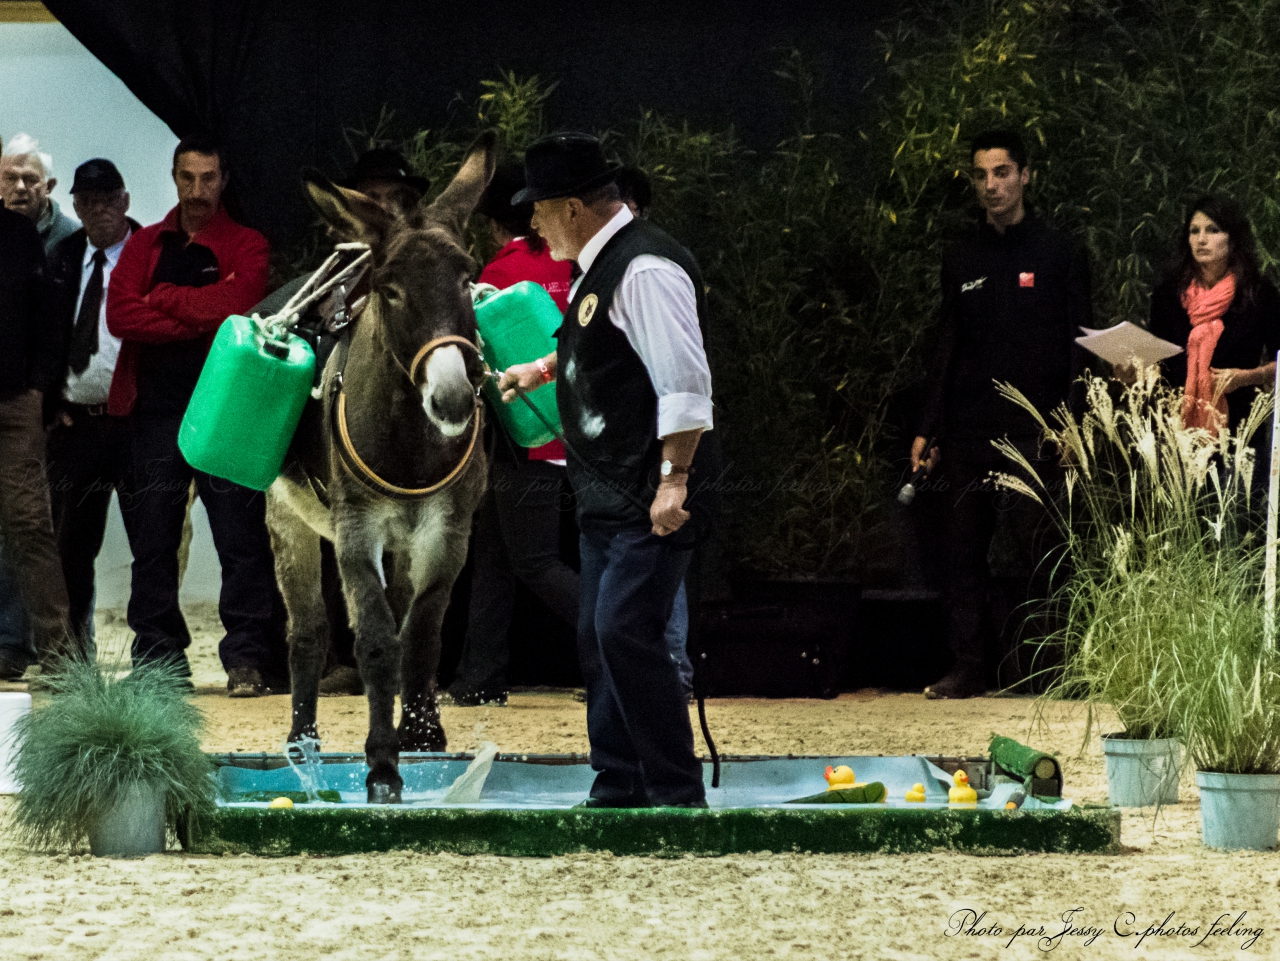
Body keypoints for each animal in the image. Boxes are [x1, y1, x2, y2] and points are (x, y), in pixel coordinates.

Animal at [266, 135, 496, 803]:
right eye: (390, 288)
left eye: (468, 277)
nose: (452, 396)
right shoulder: (356, 528)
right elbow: (373, 641)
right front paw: (382, 769)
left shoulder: (448, 532)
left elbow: (419, 638)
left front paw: (419, 738)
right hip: (288, 519)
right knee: (308, 634)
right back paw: (303, 747)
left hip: (403, 540)